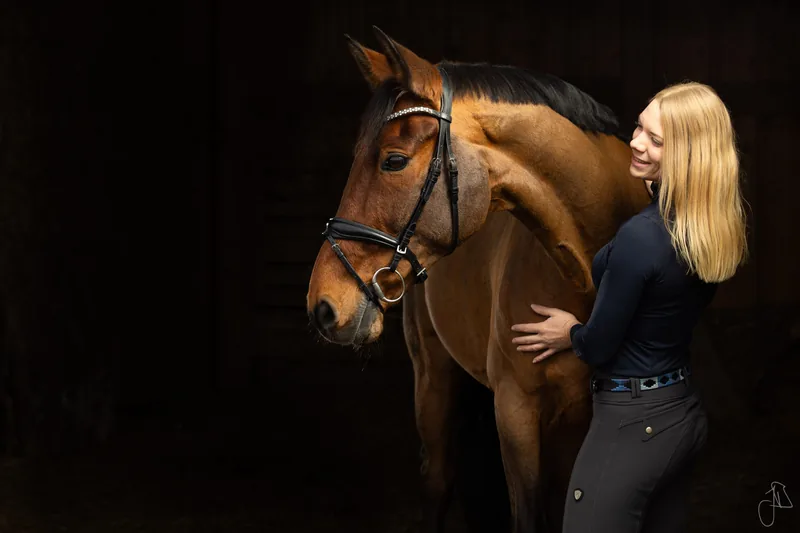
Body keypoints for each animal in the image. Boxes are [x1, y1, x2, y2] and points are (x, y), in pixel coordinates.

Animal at [306, 26, 652, 532]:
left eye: (393, 161)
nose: (323, 305)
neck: (584, 284)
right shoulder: (516, 411)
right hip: (433, 377)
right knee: (439, 478)